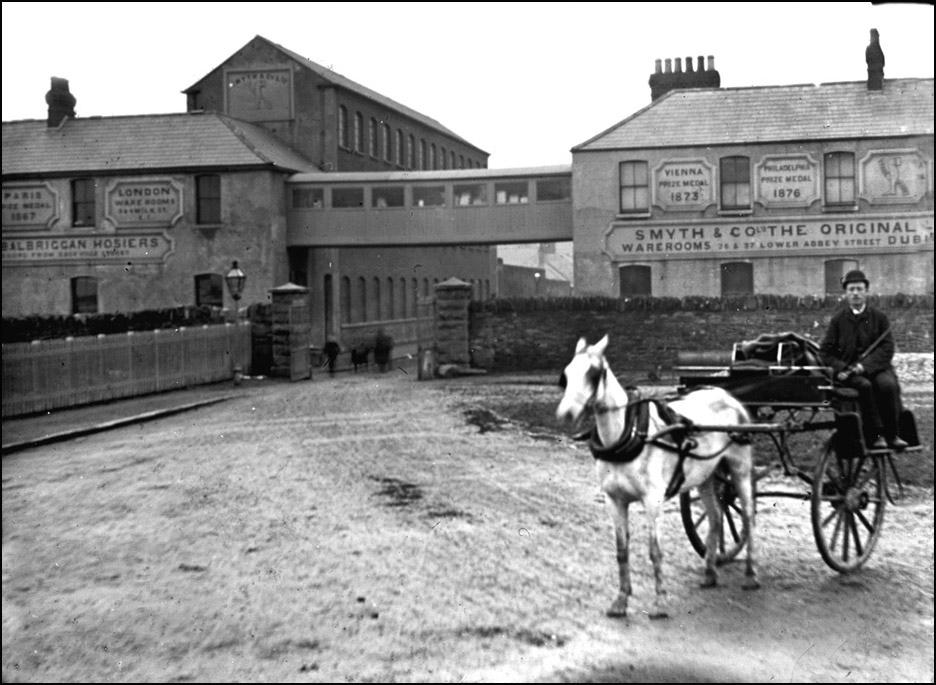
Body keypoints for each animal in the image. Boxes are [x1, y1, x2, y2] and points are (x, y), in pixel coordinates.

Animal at [556, 334, 760, 616]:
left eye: (594, 373)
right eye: (566, 374)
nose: (566, 414)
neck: (629, 433)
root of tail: (727, 395)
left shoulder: (653, 500)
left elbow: (655, 551)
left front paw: (660, 602)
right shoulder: (614, 500)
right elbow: (622, 550)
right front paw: (621, 599)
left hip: (739, 470)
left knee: (748, 517)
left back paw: (751, 574)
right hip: (706, 477)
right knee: (717, 517)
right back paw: (710, 572)